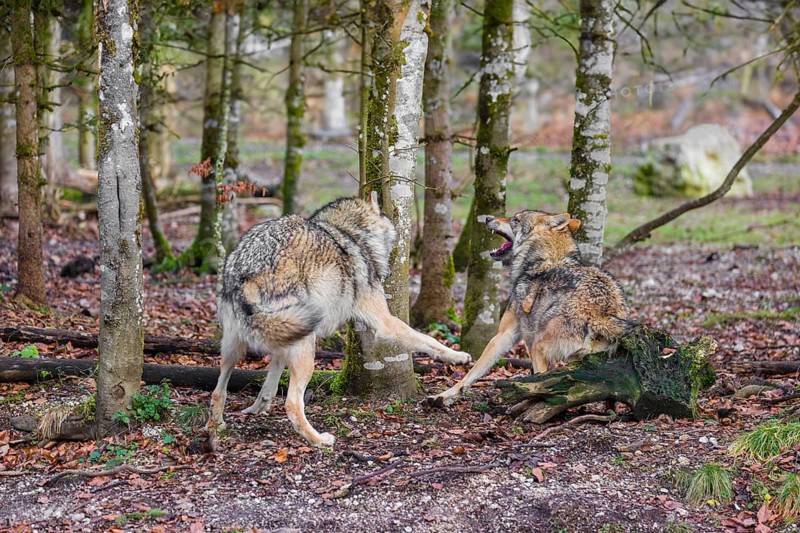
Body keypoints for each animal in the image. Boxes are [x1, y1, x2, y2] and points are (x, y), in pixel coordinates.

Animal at [207, 193, 471, 446]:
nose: (397, 238)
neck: (352, 235)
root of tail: (245, 270)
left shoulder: (283, 342)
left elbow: (269, 382)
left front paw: (258, 407)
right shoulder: (385, 321)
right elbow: (427, 339)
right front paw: (457, 356)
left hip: (239, 346)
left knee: (218, 391)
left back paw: (216, 427)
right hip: (306, 344)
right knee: (292, 404)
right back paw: (319, 440)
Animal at [429, 210, 632, 407]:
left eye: (515, 220)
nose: (487, 218)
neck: (545, 258)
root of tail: (602, 313)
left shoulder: (505, 335)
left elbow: (474, 371)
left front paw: (443, 395)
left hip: (539, 347)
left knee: (540, 388)